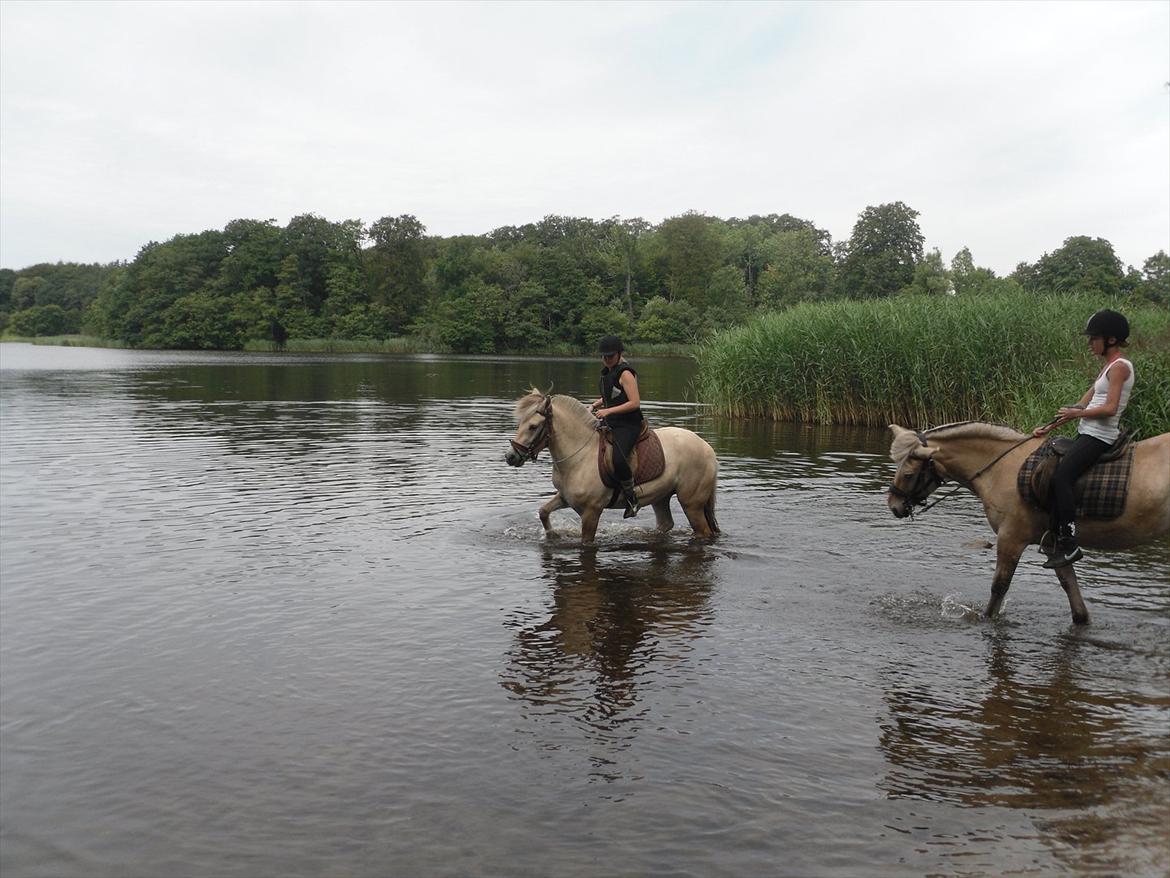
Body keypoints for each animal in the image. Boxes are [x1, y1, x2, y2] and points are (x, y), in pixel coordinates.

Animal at [505, 391, 720, 543]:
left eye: (533, 426)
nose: (510, 457)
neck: (580, 456)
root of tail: (708, 448)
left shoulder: (591, 511)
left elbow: (586, 540)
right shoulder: (565, 497)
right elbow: (543, 512)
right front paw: (553, 535)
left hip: (691, 503)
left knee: (703, 531)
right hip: (661, 496)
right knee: (665, 524)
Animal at [884, 423, 1170, 627]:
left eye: (908, 474)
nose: (894, 505)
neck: (999, 468)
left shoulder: (1011, 538)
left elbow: (999, 587)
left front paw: (986, 620)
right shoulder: (1056, 547)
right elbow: (1073, 595)